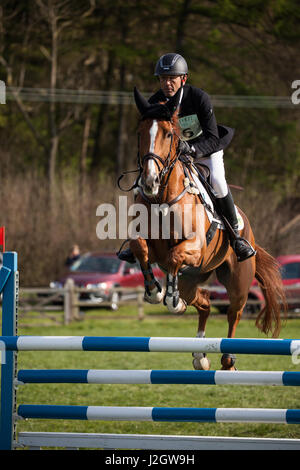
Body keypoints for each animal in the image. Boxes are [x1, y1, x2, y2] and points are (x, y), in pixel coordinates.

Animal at [124, 85, 286, 370]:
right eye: (140, 133)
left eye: (169, 134)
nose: (150, 181)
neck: (162, 198)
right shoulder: (152, 249)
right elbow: (140, 248)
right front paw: (155, 291)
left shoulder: (195, 248)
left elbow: (175, 255)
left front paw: (169, 295)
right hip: (195, 279)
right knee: (205, 302)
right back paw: (199, 354)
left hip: (238, 281)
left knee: (234, 313)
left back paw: (228, 359)